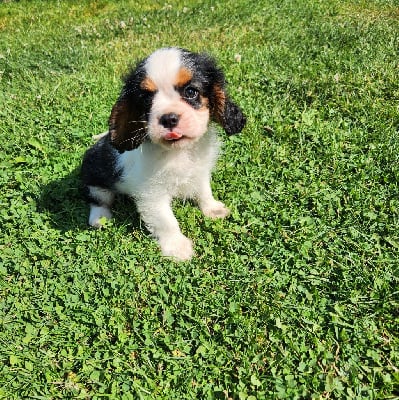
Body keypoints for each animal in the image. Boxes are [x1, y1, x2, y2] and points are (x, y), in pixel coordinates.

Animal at [80, 47, 245, 260]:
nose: (169, 118)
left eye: (191, 92)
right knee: (96, 198)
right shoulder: (152, 194)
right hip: (95, 179)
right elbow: (166, 221)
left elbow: (204, 191)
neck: (179, 152)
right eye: (146, 99)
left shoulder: (200, 172)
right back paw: (100, 217)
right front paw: (177, 247)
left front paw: (212, 209)